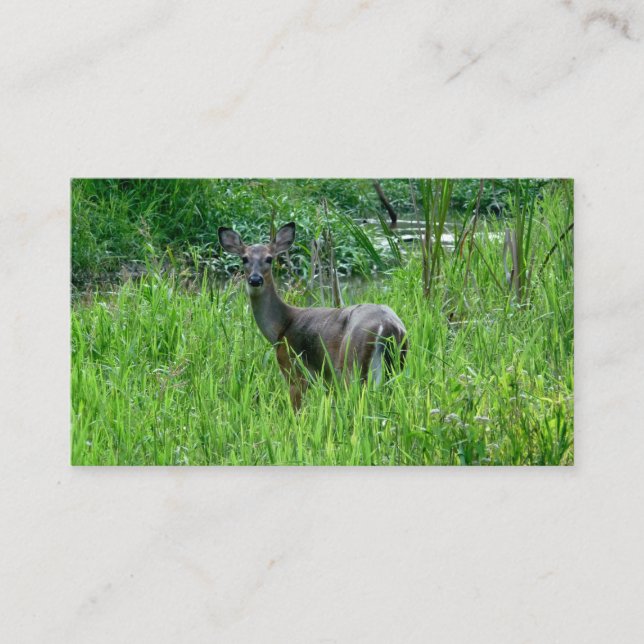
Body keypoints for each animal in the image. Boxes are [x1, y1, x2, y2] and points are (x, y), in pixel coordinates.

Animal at [218, 222, 408, 410]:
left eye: (269, 258)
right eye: (244, 258)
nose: (255, 279)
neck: (280, 327)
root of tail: (388, 326)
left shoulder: (293, 370)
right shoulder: (327, 380)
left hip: (352, 365)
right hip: (395, 365)